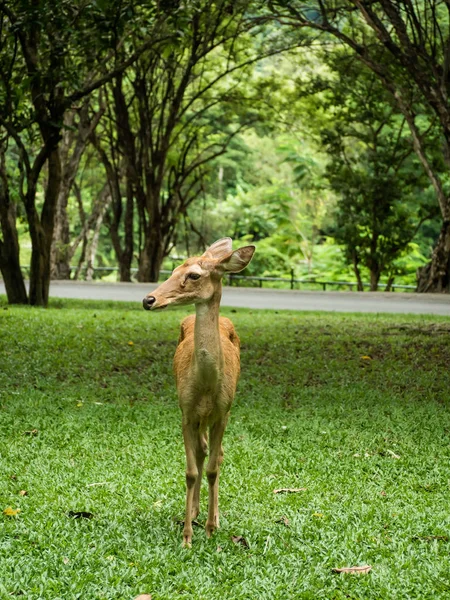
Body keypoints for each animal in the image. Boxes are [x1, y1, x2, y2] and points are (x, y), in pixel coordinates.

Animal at [142, 237, 255, 548]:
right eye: (172, 270)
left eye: (193, 275)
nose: (148, 299)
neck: (205, 386)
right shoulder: (186, 410)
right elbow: (191, 471)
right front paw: (187, 536)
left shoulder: (223, 412)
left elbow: (213, 468)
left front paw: (210, 529)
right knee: (201, 451)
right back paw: (193, 512)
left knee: (217, 455)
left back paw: (212, 515)